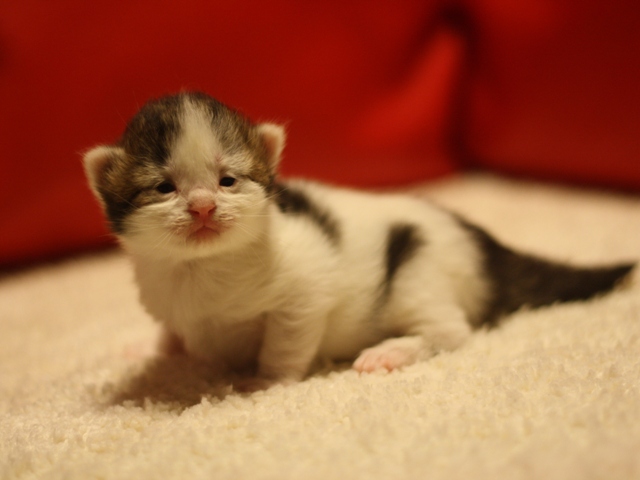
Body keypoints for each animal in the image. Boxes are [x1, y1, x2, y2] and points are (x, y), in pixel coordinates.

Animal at [84, 91, 636, 390]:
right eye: (164, 187)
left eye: (228, 181)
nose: (202, 207)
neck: (199, 266)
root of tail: (482, 243)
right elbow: (174, 331)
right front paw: (152, 348)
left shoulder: (304, 291)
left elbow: (286, 339)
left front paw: (266, 381)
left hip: (419, 271)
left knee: (453, 331)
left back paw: (390, 352)